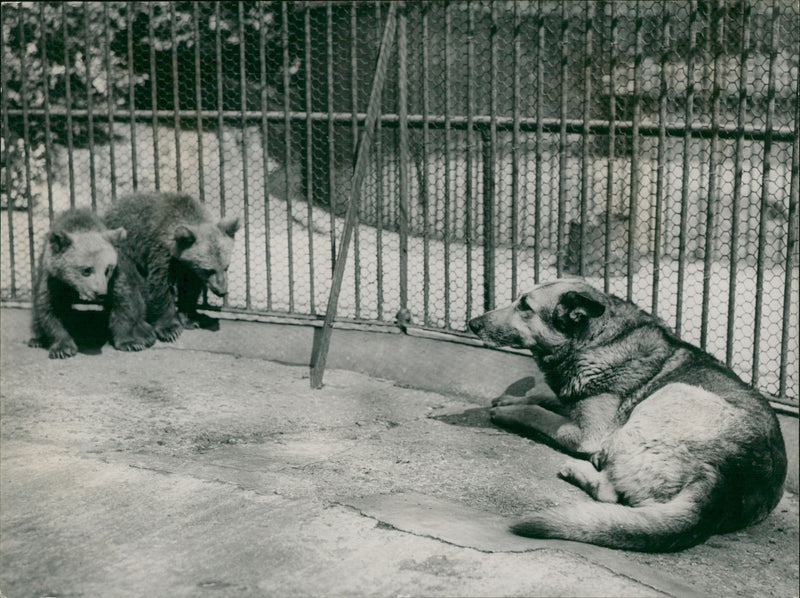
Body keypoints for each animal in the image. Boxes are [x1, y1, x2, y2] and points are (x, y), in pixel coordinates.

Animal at [468, 282, 788, 552]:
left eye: (525, 306)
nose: (472, 323)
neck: (598, 340)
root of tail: (722, 478)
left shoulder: (587, 434)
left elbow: (538, 413)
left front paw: (507, 410)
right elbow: (545, 396)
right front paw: (511, 398)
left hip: (672, 391)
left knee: (609, 493)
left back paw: (582, 469)